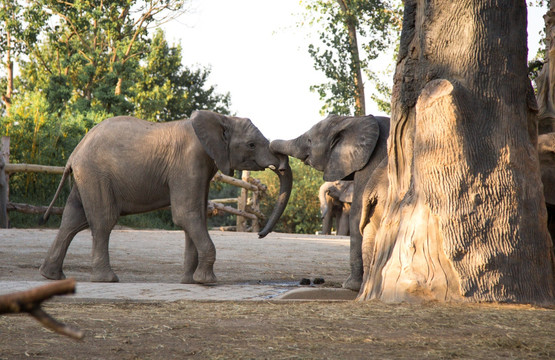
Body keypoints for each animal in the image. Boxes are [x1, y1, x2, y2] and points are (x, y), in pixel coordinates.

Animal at [39, 109, 294, 284]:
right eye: (251, 145)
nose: (259, 235)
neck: (221, 118)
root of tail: (74, 154)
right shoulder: (188, 161)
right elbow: (186, 214)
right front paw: (207, 281)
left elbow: (197, 215)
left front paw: (190, 281)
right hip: (96, 174)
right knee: (103, 220)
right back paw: (107, 279)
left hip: (87, 176)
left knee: (72, 219)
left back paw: (52, 276)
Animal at [272, 114, 388, 292]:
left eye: (310, 140)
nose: (281, 166)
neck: (352, 120)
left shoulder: (370, 163)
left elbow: (357, 214)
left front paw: (350, 286)